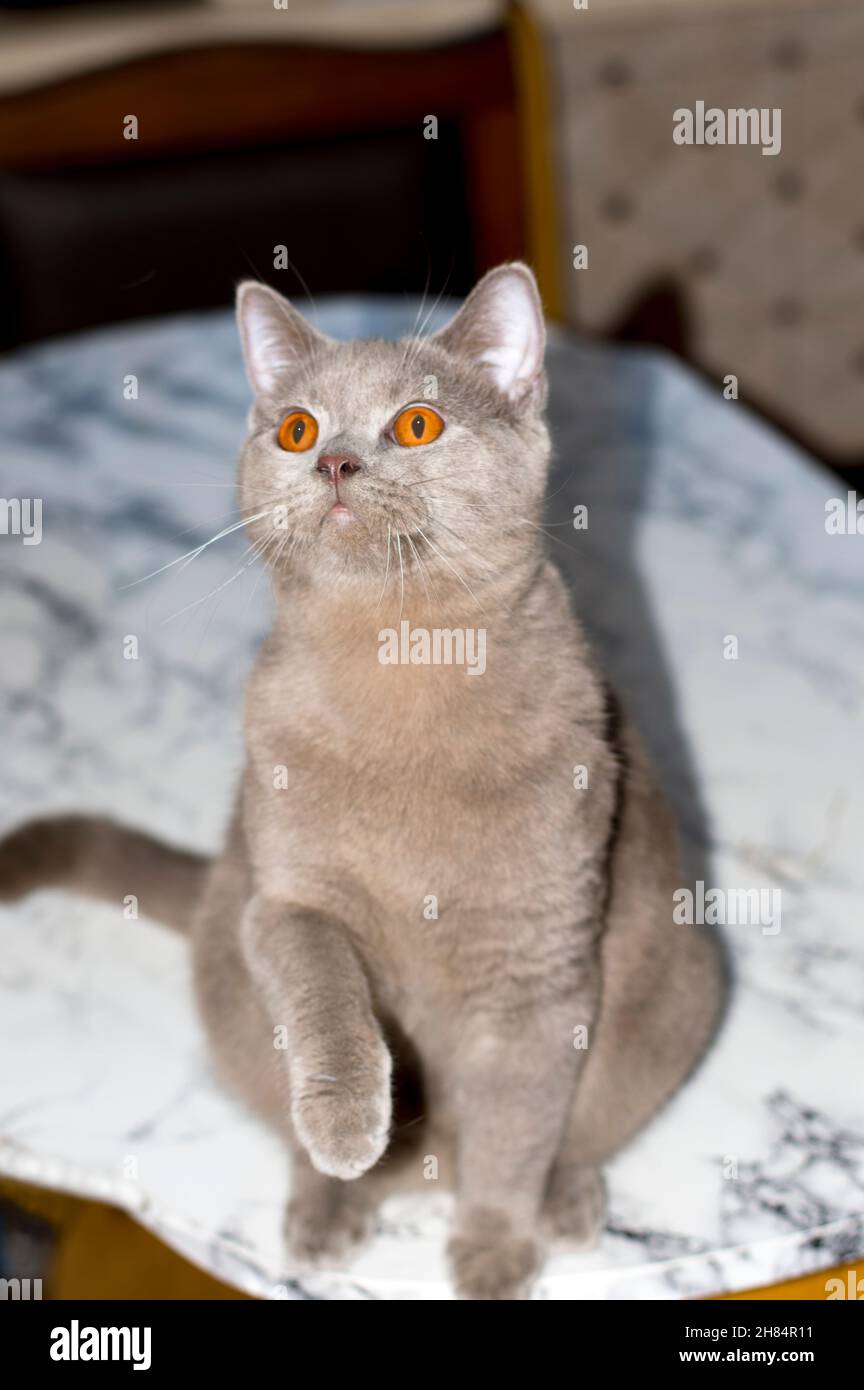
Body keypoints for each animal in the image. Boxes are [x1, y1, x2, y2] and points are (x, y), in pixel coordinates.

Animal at [1, 262, 722, 1301]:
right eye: (297, 428)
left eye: (417, 424)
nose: (335, 462)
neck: (399, 656)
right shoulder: (284, 898)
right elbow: (323, 993)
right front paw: (349, 1125)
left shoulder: (539, 961)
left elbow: (516, 1122)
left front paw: (494, 1251)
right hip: (227, 966)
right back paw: (329, 1202)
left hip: (682, 990)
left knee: (582, 1125)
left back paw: (565, 1198)